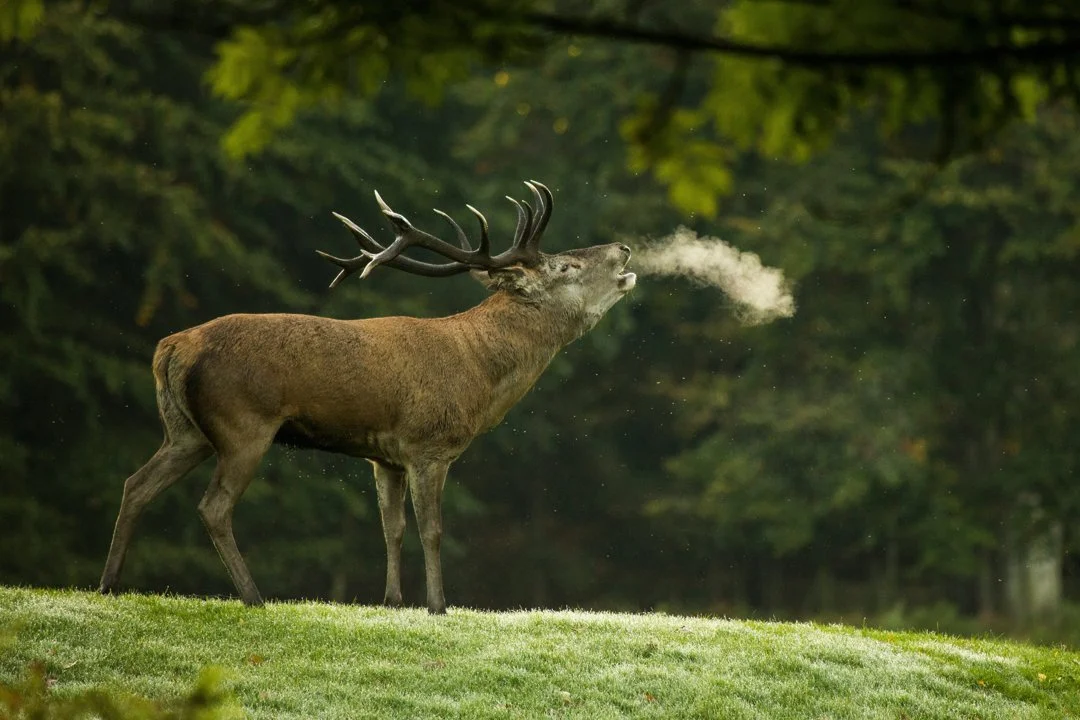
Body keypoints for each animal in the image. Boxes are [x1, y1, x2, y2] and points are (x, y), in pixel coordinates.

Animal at [98, 180, 636, 613]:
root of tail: (170, 348)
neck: (478, 375)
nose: (625, 249)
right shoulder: (428, 445)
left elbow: (390, 527)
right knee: (214, 507)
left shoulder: (385, 456)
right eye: (566, 265)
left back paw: (109, 584)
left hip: (185, 430)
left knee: (135, 483)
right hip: (242, 424)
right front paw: (438, 606)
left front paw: (392, 600)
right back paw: (254, 597)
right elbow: (432, 530)